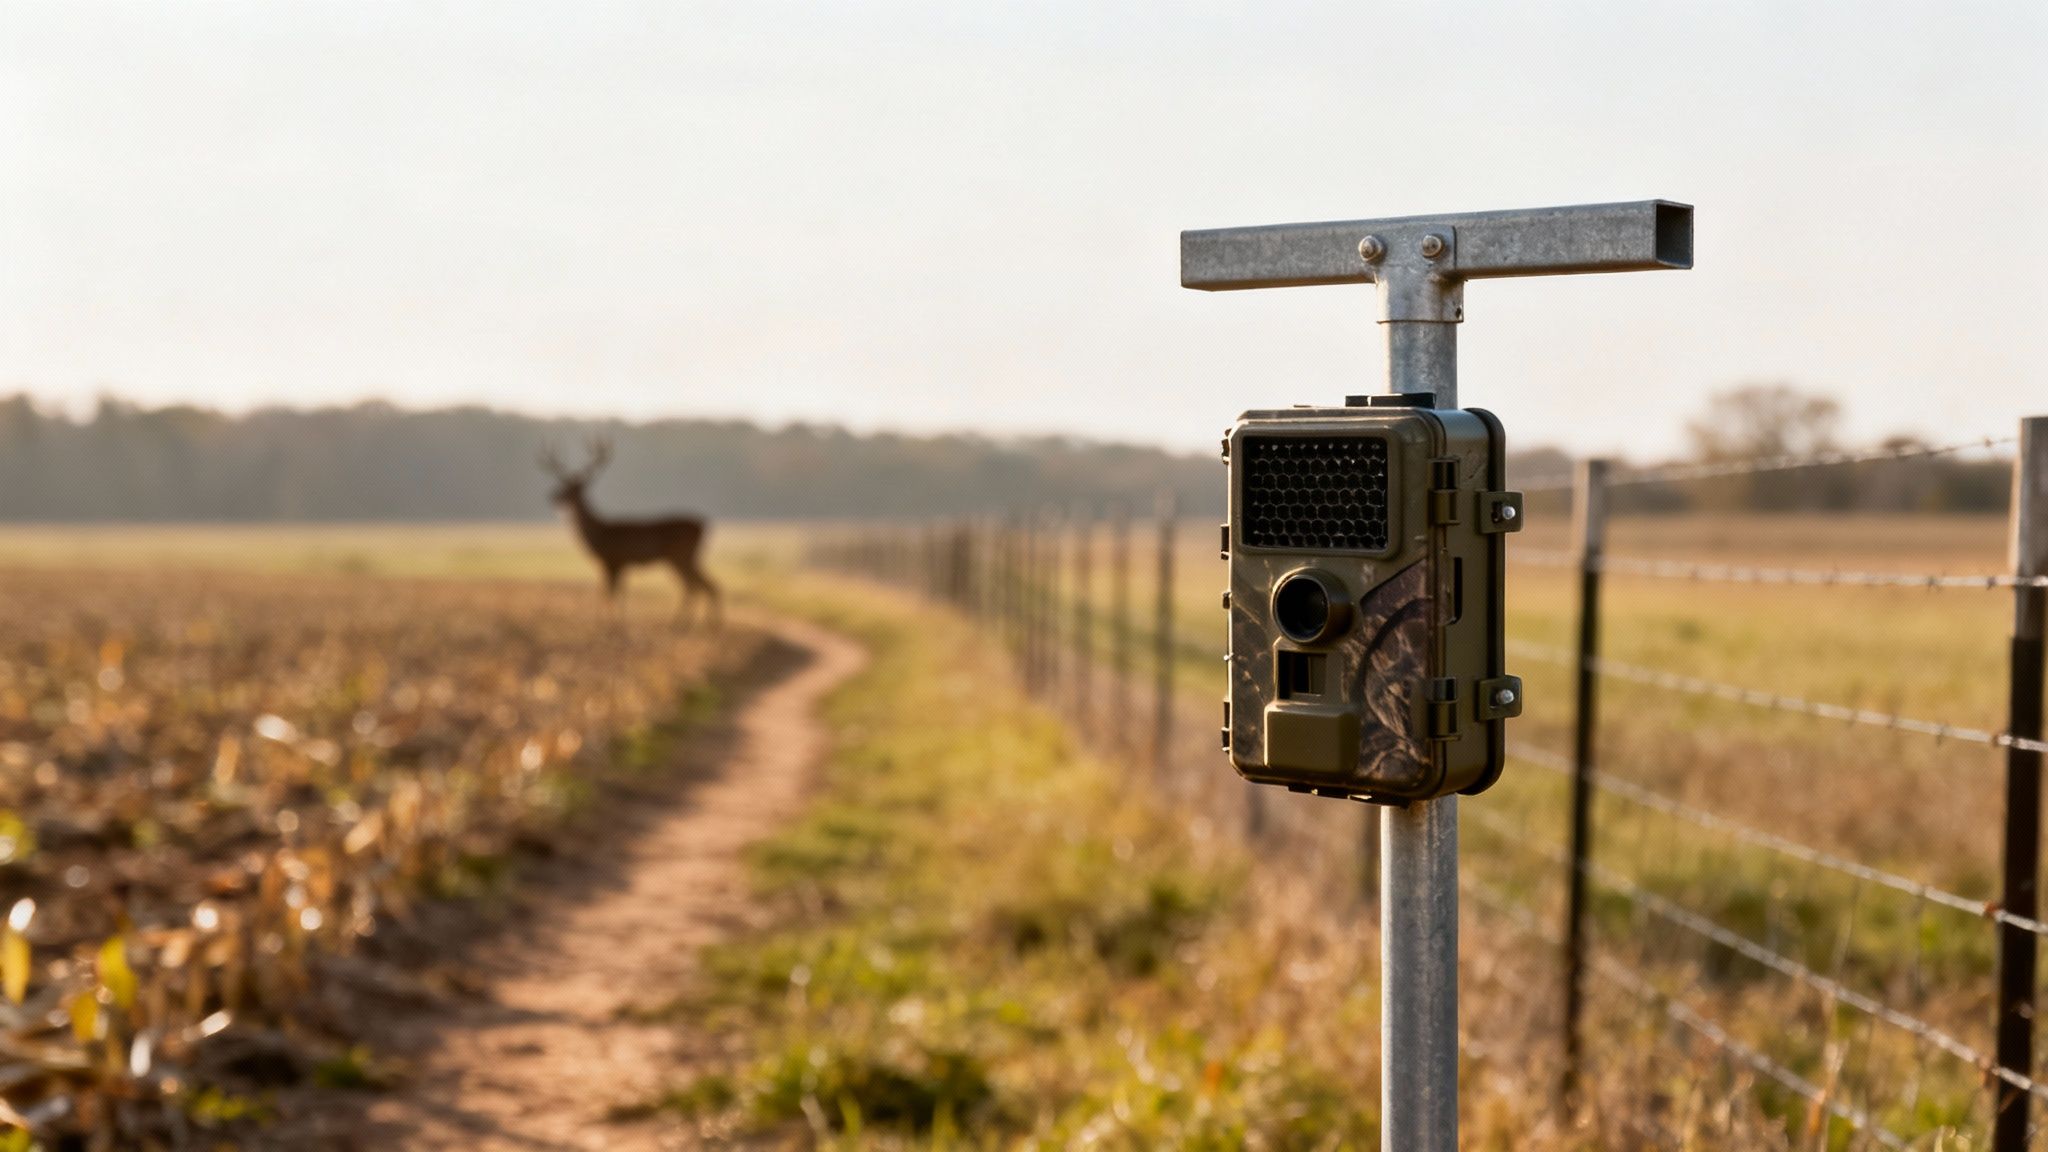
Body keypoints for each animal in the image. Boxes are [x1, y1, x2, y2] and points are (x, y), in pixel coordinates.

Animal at [541, 436, 722, 627]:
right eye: (563, 484)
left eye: (571, 488)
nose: (553, 496)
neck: (600, 532)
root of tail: (705, 525)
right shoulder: (618, 564)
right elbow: (614, 593)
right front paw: (616, 622)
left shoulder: (612, 559)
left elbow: (609, 593)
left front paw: (608, 624)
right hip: (688, 557)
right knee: (706, 584)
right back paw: (706, 623)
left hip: (681, 555)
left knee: (694, 586)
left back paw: (681, 623)